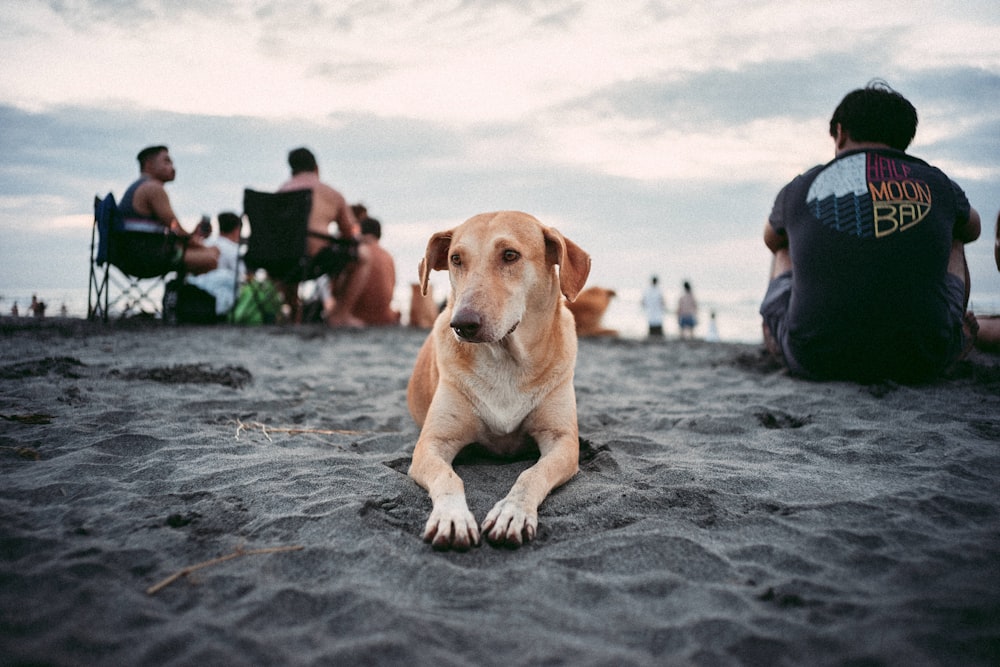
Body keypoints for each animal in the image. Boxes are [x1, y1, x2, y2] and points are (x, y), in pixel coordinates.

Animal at [406, 211, 588, 552]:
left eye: (510, 255)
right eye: (456, 259)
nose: (462, 324)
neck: (505, 360)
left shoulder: (562, 442)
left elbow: (531, 475)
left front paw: (512, 513)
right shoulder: (432, 443)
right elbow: (449, 477)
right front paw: (452, 517)